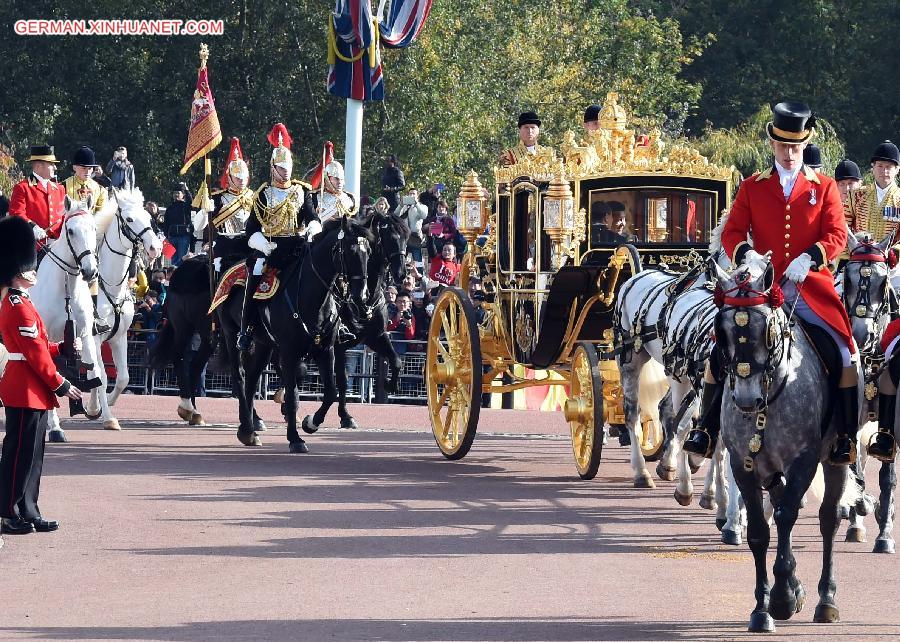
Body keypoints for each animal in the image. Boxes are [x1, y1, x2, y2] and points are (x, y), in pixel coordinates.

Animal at [29, 195, 107, 436]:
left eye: (93, 228)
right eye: (71, 231)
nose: (90, 271)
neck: (65, 288)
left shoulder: (84, 334)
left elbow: (94, 371)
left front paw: (93, 408)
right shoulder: (43, 336)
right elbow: (50, 374)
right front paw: (54, 427)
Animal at [92, 190, 163, 408]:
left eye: (149, 217)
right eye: (129, 219)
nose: (155, 248)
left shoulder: (120, 336)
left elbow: (123, 377)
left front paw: (103, 403)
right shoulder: (94, 337)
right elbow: (101, 375)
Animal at [312, 211, 406, 430]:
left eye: (405, 236)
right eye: (389, 237)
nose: (401, 273)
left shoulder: (376, 337)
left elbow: (396, 360)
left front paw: (390, 384)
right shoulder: (337, 346)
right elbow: (342, 380)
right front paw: (344, 415)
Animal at [716, 258, 856, 632]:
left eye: (766, 330)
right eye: (723, 331)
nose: (746, 401)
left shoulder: (803, 462)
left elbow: (787, 514)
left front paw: (779, 598)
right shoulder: (743, 465)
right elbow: (760, 532)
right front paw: (763, 607)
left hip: (835, 459)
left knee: (827, 519)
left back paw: (826, 599)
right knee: (780, 507)